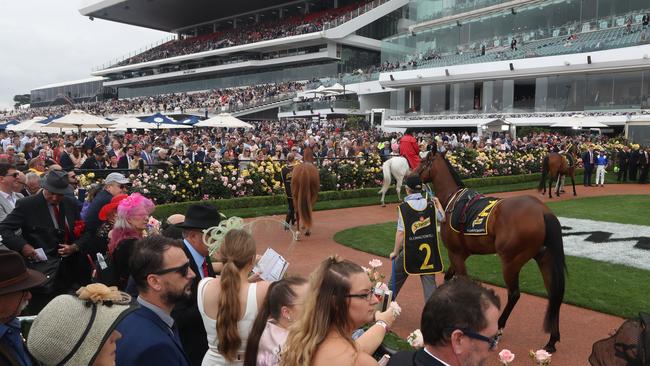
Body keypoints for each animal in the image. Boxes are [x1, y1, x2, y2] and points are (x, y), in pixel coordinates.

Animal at [416, 150, 560, 354]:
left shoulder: (455, 253)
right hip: (544, 258)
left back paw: (499, 328)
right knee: (555, 294)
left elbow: (461, 281)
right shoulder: (461, 253)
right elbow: (449, 277)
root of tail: (542, 211)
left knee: (514, 294)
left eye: (422, 162)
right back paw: (552, 340)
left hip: (511, 260)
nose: (407, 176)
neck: (450, 201)